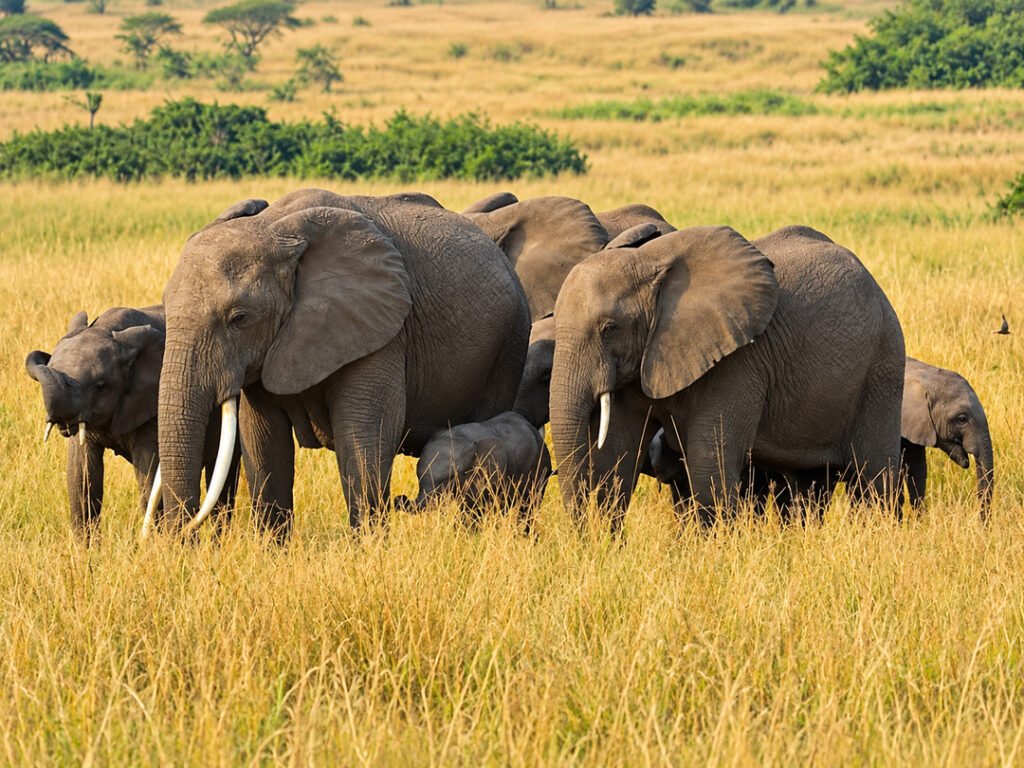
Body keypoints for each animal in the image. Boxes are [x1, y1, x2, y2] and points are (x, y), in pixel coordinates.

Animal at [155, 189, 530, 539]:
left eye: (239, 318)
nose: (184, 542)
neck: (276, 229)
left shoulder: (380, 327)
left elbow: (364, 435)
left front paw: (369, 550)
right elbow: (262, 441)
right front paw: (271, 552)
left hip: (510, 340)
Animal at [394, 412, 551, 532]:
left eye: (451, 478)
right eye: (418, 475)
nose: (399, 498)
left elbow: (475, 508)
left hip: (540, 470)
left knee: (529, 507)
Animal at [549, 224, 905, 531]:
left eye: (610, 328)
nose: (581, 532)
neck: (649, 261)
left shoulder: (739, 360)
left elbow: (710, 460)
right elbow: (616, 455)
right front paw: (606, 547)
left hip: (882, 365)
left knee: (874, 474)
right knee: (810, 484)